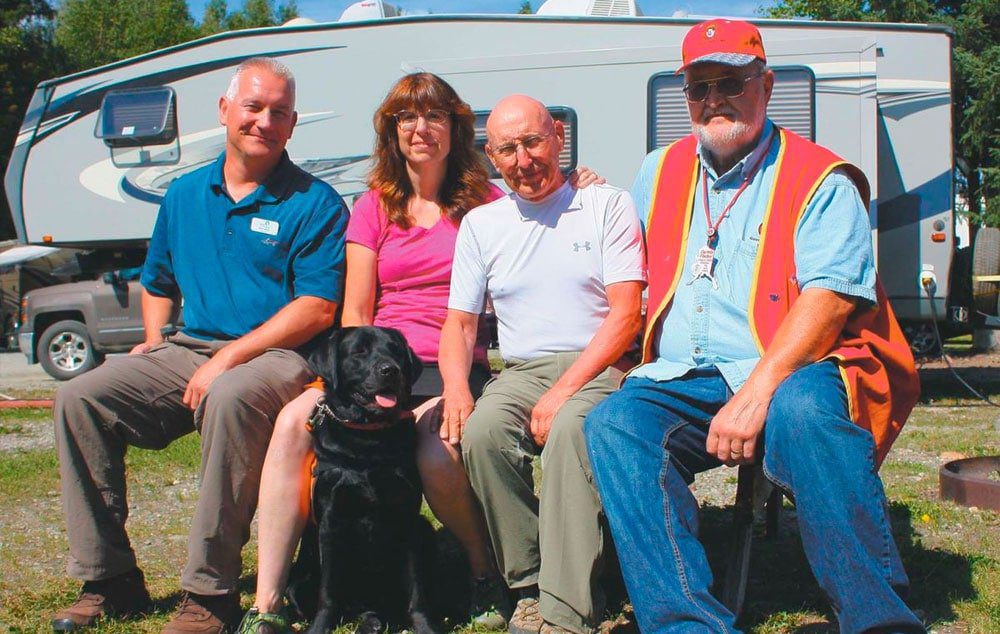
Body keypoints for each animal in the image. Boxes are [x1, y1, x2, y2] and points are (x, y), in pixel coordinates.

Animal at [288, 326, 440, 632]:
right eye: (358, 351)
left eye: (396, 350)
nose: (390, 370)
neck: (369, 440)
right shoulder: (331, 522)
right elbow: (328, 592)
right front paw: (320, 626)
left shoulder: (408, 518)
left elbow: (416, 591)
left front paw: (425, 626)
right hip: (296, 582)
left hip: (425, 528)